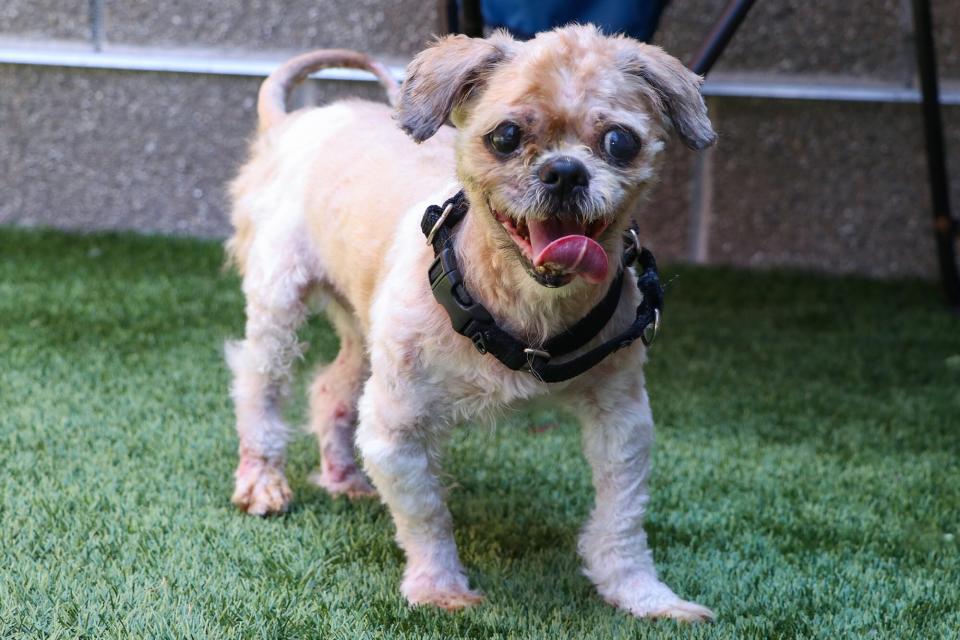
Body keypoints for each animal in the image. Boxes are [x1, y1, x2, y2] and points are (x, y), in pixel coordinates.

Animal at [229, 25, 716, 620]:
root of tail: (294, 122)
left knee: (328, 390)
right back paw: (262, 480)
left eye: (621, 141)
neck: (526, 307)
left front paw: (643, 595)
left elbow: (620, 519)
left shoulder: (622, 417)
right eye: (505, 135)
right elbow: (426, 515)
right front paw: (439, 587)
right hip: (278, 301)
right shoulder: (395, 428)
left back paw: (343, 478)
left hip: (368, 330)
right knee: (258, 384)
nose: (565, 171)